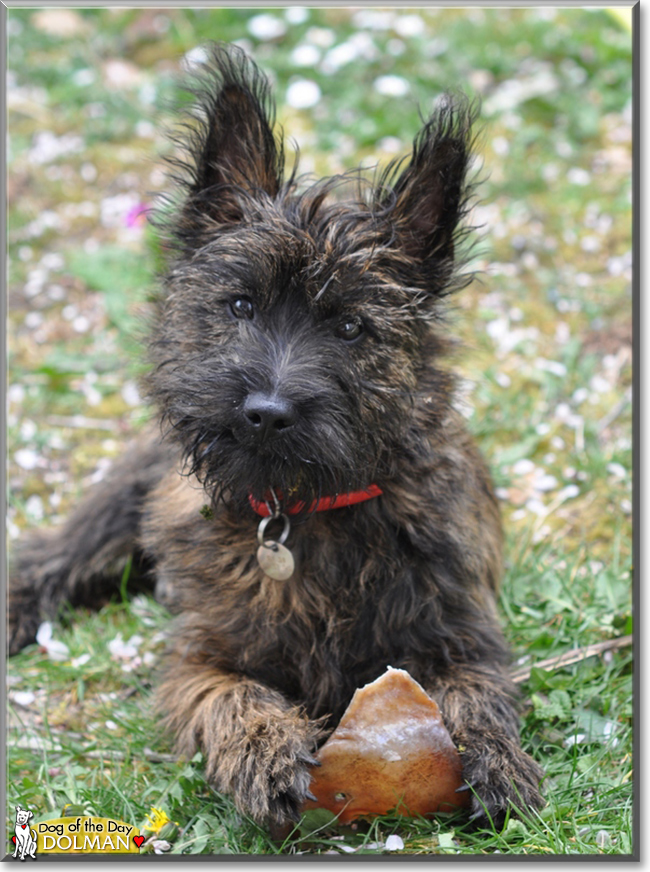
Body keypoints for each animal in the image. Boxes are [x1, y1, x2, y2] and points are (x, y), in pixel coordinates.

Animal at [10, 42, 540, 832]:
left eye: (350, 326)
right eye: (240, 305)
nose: (266, 411)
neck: (300, 512)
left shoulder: (464, 634)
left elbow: (477, 694)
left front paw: (497, 757)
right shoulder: (200, 658)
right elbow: (232, 694)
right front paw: (265, 751)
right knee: (55, 555)